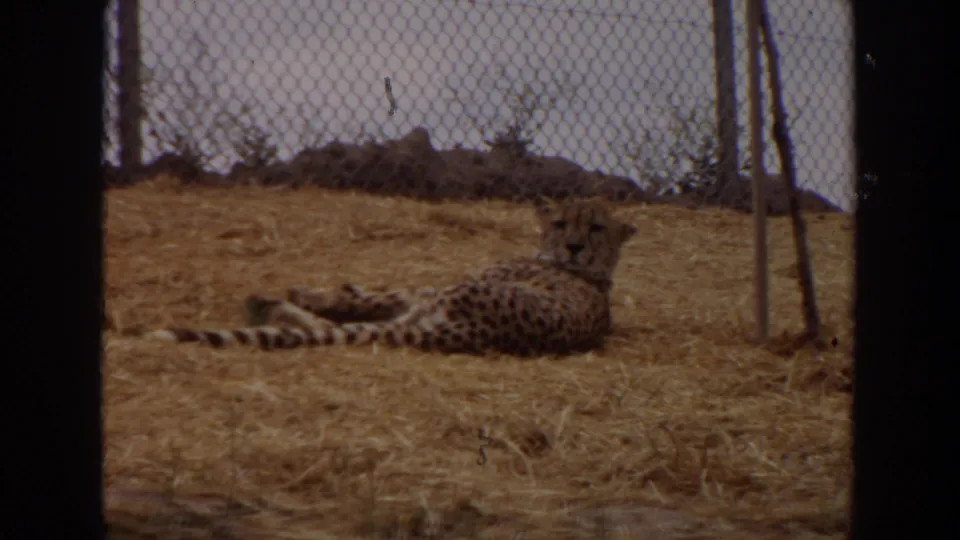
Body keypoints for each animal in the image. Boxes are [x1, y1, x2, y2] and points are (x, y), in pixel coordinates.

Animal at [145, 197, 637, 356]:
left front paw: (312, 292)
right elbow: (369, 294)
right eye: (562, 223)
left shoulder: (431, 290)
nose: (574, 247)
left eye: (596, 227)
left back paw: (268, 304)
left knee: (341, 325)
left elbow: (368, 297)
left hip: (446, 298)